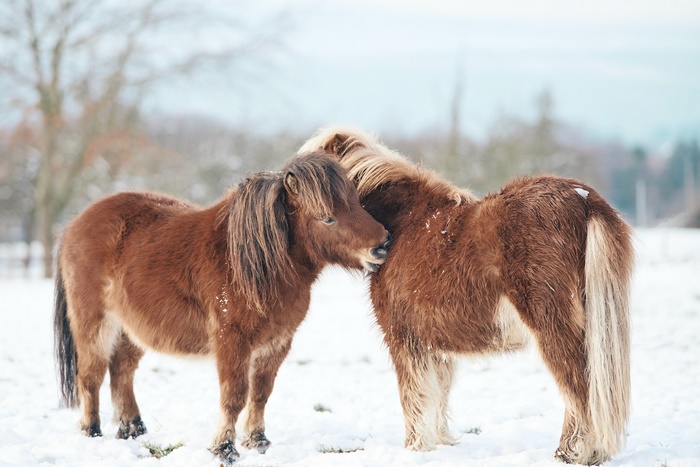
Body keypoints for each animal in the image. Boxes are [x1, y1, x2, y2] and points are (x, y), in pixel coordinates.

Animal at [53, 152, 390, 464]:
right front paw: (224, 449)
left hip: (131, 330)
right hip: (94, 324)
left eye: (357, 203)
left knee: (121, 372)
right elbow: (235, 396)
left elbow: (261, 393)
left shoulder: (277, 343)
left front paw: (258, 441)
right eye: (327, 217)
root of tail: (76, 222)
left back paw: (133, 429)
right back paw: (92, 432)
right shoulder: (232, 340)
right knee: (91, 376)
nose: (383, 245)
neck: (251, 265)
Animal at [299, 127, 634, 465]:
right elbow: (437, 397)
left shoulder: (403, 338)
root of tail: (583, 197)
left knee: (579, 387)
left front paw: (415, 448)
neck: (402, 220)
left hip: (551, 324)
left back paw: (576, 453)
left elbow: (414, 397)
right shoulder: (433, 345)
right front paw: (439, 445)